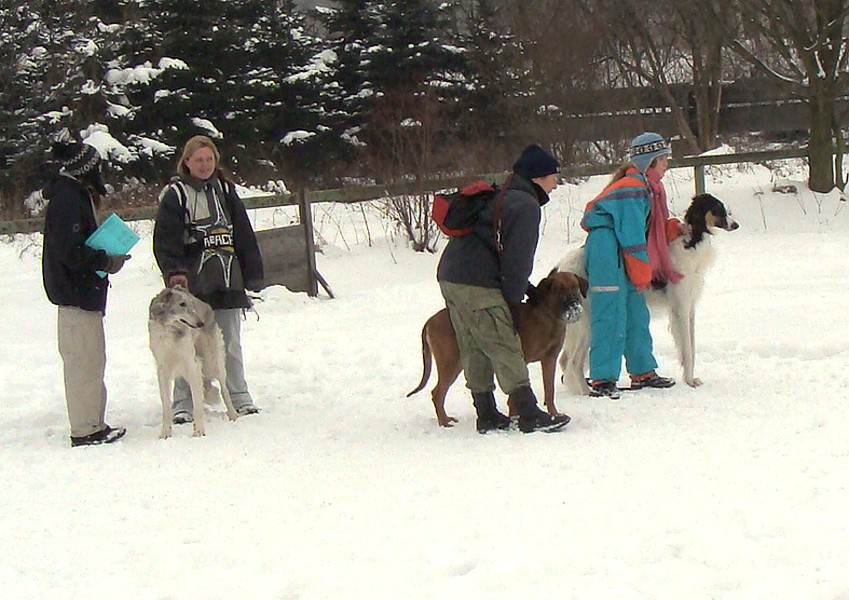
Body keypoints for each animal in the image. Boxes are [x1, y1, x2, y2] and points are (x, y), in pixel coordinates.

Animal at [147, 286, 237, 436]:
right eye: (182, 304)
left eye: (190, 304)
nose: (201, 324)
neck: (171, 330)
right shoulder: (163, 369)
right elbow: (166, 405)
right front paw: (165, 433)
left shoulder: (192, 364)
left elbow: (197, 404)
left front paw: (199, 431)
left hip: (212, 363)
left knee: (224, 389)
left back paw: (233, 414)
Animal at [408, 272, 588, 426]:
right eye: (559, 289)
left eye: (574, 286)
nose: (574, 304)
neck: (548, 316)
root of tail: (429, 321)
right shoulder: (521, 358)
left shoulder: (549, 359)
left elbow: (549, 391)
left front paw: (553, 414)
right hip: (450, 363)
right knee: (437, 393)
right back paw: (444, 421)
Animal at [556, 192, 736, 394]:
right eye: (717, 207)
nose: (736, 225)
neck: (691, 242)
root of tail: (563, 268)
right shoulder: (680, 308)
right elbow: (688, 350)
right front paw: (690, 381)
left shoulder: (689, 308)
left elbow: (690, 347)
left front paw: (690, 378)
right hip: (587, 324)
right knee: (573, 364)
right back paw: (589, 393)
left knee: (565, 361)